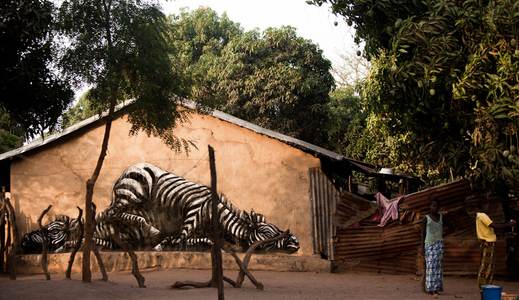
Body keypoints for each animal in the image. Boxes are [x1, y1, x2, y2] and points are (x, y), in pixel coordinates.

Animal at [96, 163, 300, 252]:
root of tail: (125, 171)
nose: (296, 241)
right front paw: (161, 246)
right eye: (268, 233)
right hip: (133, 194)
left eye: (277, 228)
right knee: (113, 213)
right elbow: (180, 237)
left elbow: (196, 239)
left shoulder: (202, 232)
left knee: (114, 215)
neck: (216, 214)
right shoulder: (193, 214)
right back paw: (150, 228)